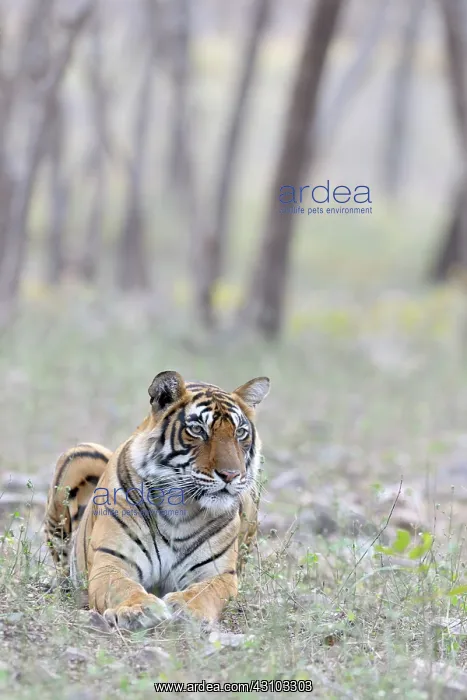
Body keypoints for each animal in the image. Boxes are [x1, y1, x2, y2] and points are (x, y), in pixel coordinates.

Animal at [45, 370, 270, 629]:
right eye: (198, 430)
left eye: (240, 433)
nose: (231, 475)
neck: (182, 508)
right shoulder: (111, 561)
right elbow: (122, 587)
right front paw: (139, 609)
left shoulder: (220, 573)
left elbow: (206, 592)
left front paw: (186, 608)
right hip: (77, 456)